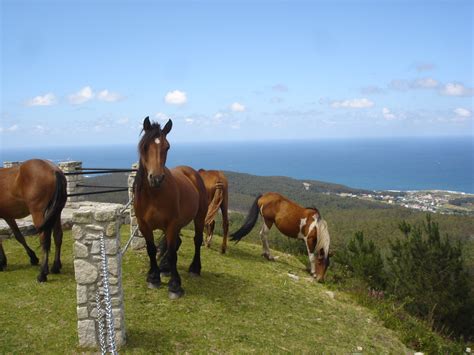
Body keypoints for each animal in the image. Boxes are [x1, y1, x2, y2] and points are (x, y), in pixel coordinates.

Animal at [133, 117, 207, 300]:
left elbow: (173, 253)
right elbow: (151, 249)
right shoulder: (143, 225)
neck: (154, 195)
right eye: (145, 146)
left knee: (197, 240)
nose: (156, 178)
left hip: (199, 217)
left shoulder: (172, 224)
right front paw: (154, 277)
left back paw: (194, 268)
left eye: (167, 147)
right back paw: (164, 268)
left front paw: (175, 286)